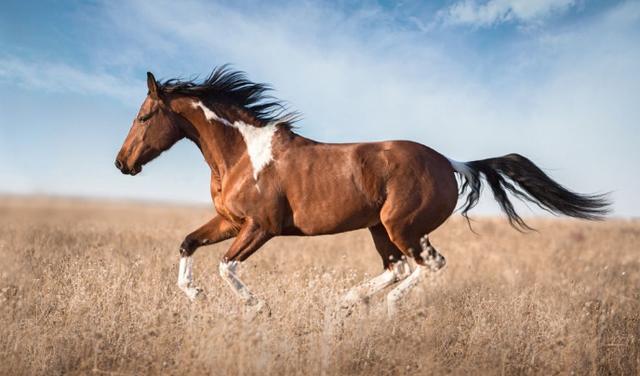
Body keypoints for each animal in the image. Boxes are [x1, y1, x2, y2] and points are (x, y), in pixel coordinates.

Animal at [115, 66, 608, 316]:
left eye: (143, 116)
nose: (122, 164)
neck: (242, 154)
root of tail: (451, 163)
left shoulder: (261, 226)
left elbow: (225, 266)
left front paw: (257, 306)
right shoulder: (229, 221)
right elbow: (187, 243)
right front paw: (194, 295)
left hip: (401, 226)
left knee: (427, 265)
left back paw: (383, 307)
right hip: (379, 229)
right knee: (399, 267)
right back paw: (349, 300)